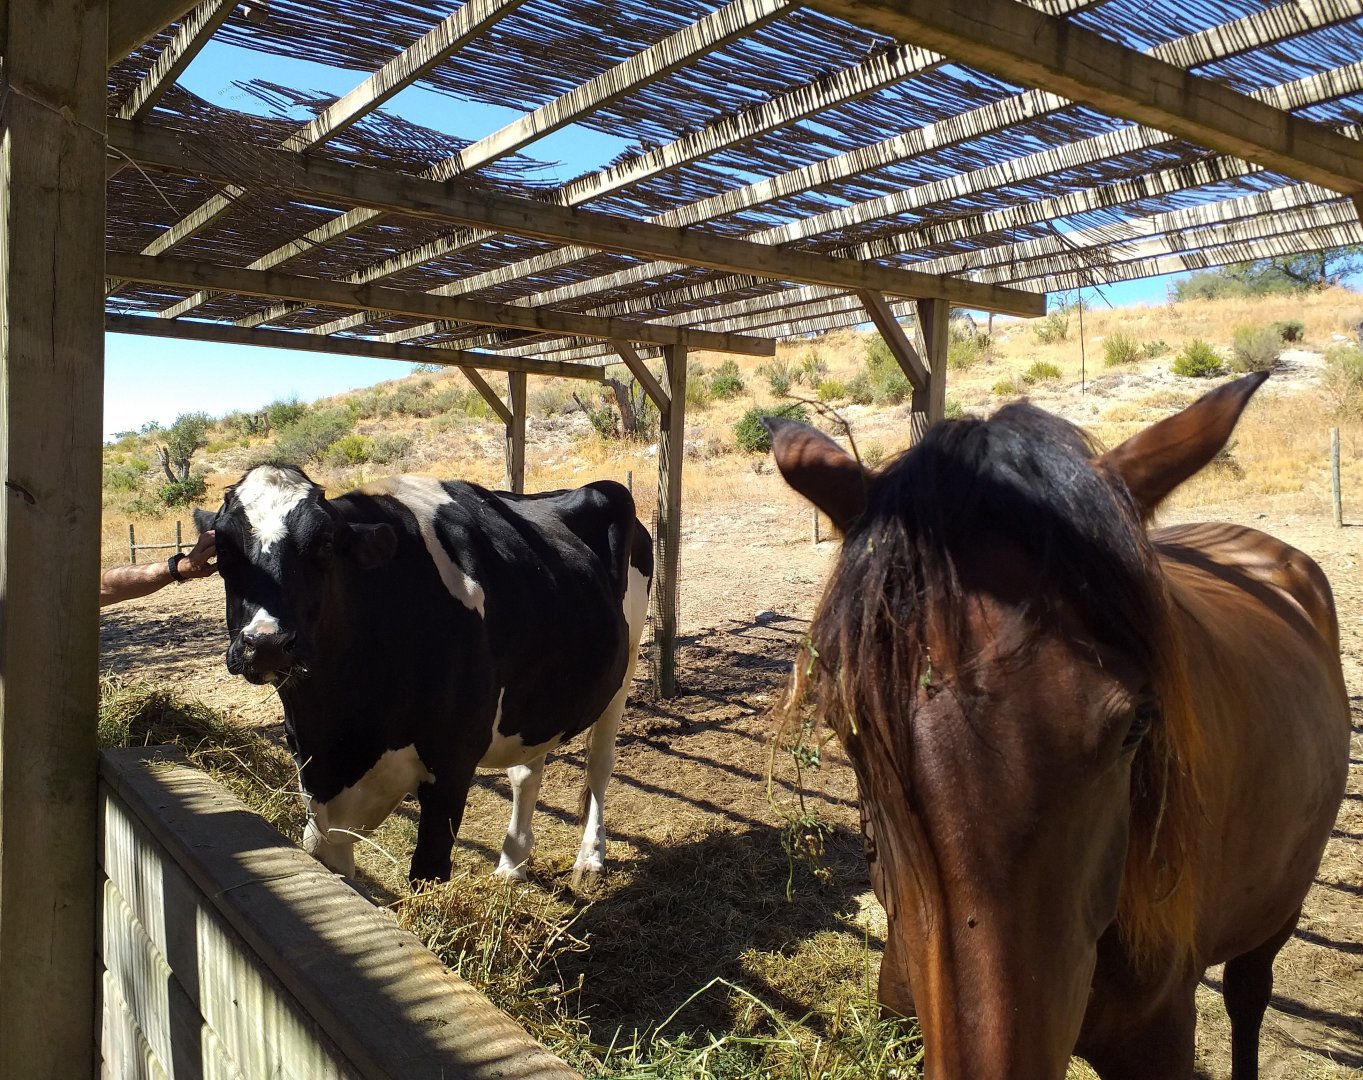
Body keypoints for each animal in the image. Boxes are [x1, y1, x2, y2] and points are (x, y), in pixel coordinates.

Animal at [195, 464, 652, 887]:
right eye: (223, 550)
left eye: (324, 543)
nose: (267, 643)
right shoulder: (316, 785)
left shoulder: (452, 765)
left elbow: (427, 872)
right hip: (539, 690)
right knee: (527, 769)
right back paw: (512, 862)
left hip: (625, 665)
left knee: (599, 764)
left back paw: (590, 858)